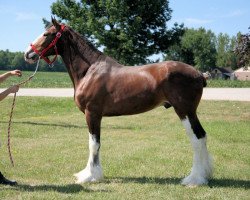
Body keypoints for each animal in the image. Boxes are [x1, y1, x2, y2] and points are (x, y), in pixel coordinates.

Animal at [24, 18, 213, 186]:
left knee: (196, 139)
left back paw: (194, 179)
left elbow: (93, 144)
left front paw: (90, 176)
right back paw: (205, 175)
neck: (90, 70)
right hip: (190, 112)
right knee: (202, 136)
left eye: (47, 33)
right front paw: (90, 173)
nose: (27, 53)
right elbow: (95, 143)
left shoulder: (92, 113)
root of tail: (199, 74)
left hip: (184, 111)